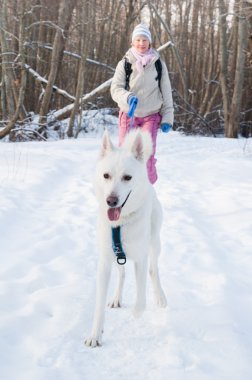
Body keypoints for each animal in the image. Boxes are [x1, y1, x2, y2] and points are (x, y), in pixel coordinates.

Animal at [85, 130, 167, 348]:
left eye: (127, 177)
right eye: (106, 175)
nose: (111, 201)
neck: (120, 225)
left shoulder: (140, 258)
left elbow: (141, 298)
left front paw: (136, 314)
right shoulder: (105, 262)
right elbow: (98, 306)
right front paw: (96, 334)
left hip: (155, 243)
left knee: (153, 270)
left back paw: (160, 297)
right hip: (117, 256)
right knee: (122, 274)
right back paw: (116, 298)